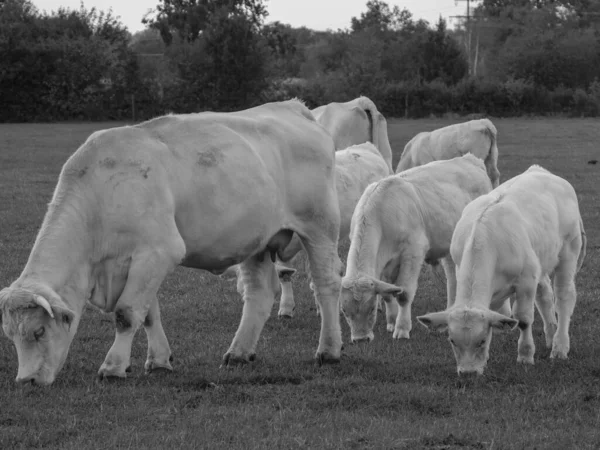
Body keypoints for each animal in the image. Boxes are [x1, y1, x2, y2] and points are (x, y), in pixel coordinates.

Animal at [0, 97, 342, 384]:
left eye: (39, 331)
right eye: (10, 335)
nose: (26, 381)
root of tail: (293, 107)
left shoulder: (157, 252)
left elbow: (126, 314)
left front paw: (113, 367)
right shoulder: (139, 262)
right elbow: (149, 314)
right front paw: (159, 361)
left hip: (320, 227)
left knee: (326, 285)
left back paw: (328, 351)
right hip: (256, 239)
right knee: (259, 294)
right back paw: (239, 353)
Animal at [338, 153, 492, 342]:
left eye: (372, 308)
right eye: (344, 311)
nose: (361, 339)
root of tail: (470, 159)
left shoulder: (413, 251)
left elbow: (404, 293)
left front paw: (402, 329)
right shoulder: (386, 261)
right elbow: (388, 292)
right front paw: (391, 322)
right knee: (452, 277)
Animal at [418, 166, 584, 376]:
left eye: (481, 341)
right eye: (452, 340)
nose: (468, 373)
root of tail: (540, 170)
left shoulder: (526, 280)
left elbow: (523, 319)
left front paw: (525, 355)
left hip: (569, 251)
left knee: (564, 298)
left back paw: (560, 346)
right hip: (540, 259)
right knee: (545, 295)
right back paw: (551, 334)